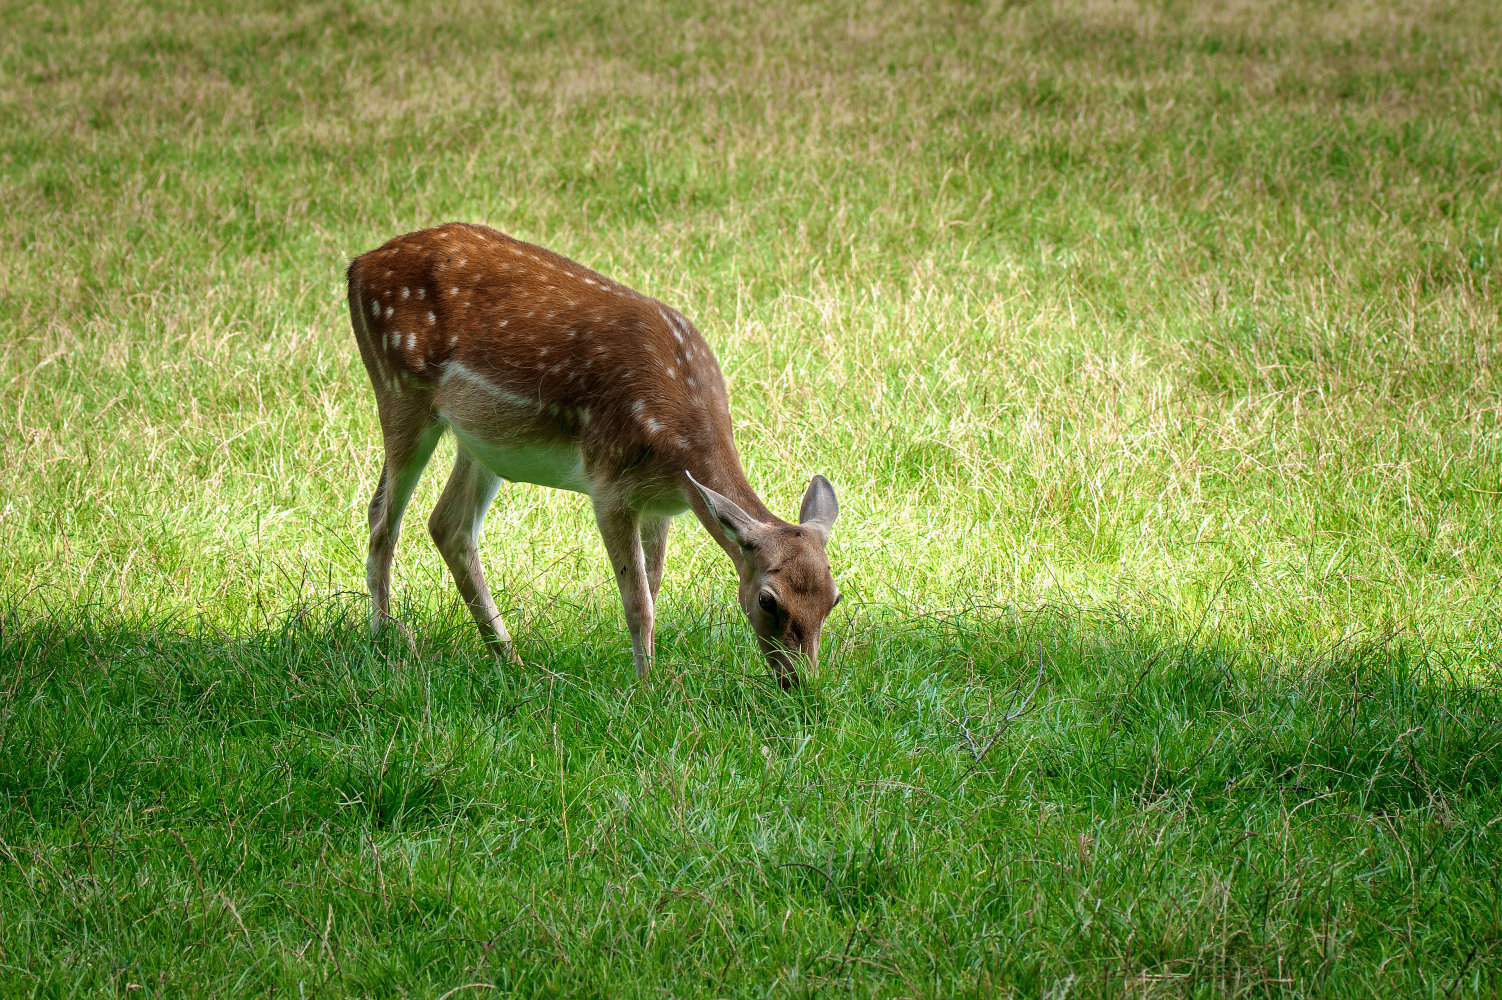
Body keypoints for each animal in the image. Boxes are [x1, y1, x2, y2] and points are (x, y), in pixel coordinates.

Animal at [349, 222, 841, 684]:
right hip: (399, 388)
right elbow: (637, 601)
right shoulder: (609, 485)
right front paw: (647, 688)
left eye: (833, 598)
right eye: (767, 600)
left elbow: (654, 586)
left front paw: (649, 673)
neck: (679, 446)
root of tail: (356, 266)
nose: (798, 680)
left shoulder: (661, 501)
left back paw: (509, 658)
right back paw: (388, 638)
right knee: (382, 517)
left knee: (448, 524)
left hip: (482, 442)